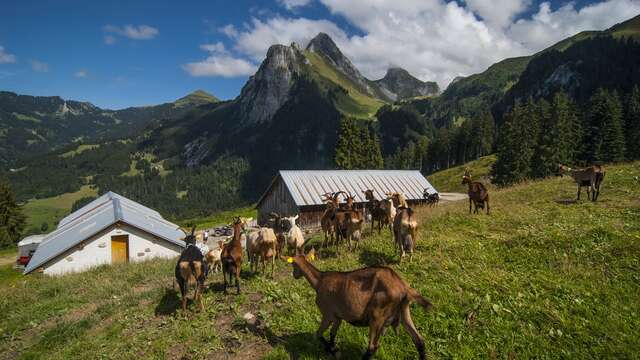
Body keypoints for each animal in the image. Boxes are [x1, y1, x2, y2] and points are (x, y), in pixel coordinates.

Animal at [286, 252, 432, 358]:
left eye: (293, 265)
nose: (294, 275)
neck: (319, 280)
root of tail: (403, 287)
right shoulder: (338, 317)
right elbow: (333, 333)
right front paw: (333, 348)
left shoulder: (327, 314)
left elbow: (318, 334)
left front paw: (330, 349)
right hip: (404, 311)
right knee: (420, 341)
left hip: (377, 315)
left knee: (372, 347)